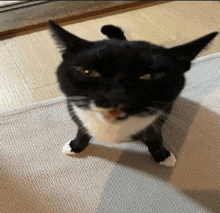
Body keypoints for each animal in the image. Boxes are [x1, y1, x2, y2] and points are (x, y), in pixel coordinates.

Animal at [49, 20, 217, 166]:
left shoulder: (156, 121)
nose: (116, 95)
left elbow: (154, 138)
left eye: (149, 76)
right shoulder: (75, 111)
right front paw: (76, 146)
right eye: (88, 72)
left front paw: (162, 156)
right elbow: (82, 131)